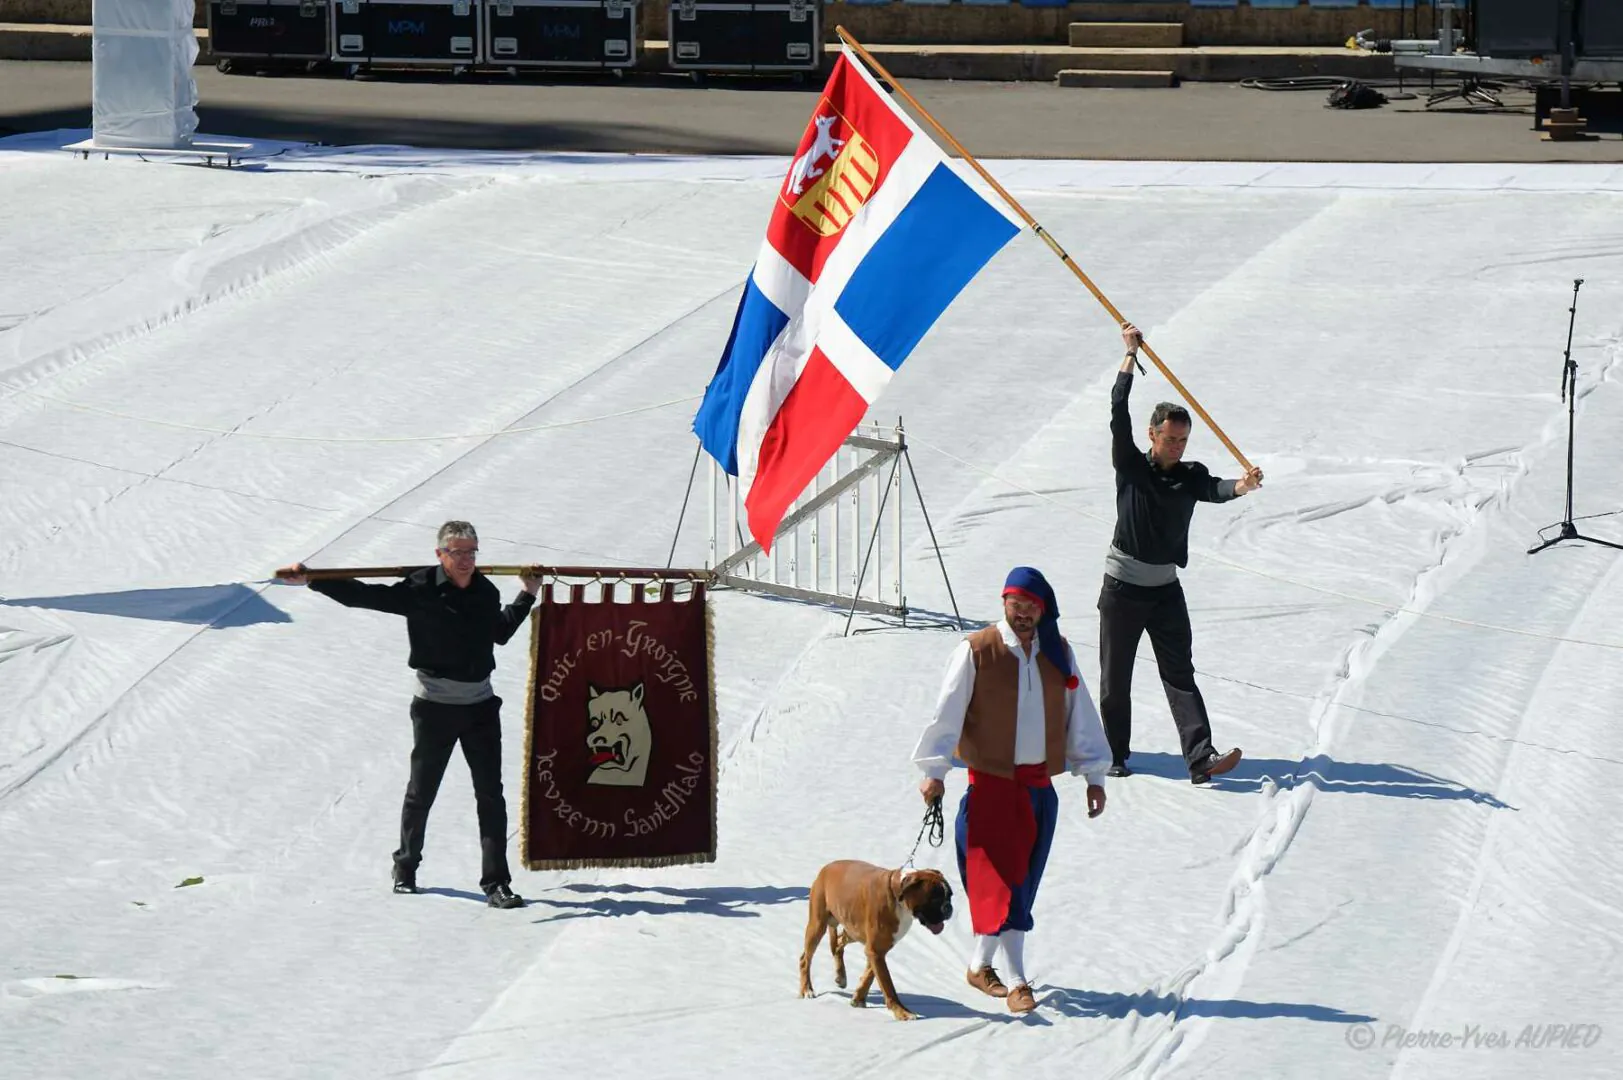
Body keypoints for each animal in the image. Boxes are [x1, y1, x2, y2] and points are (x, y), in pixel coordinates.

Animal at [798, 857, 947, 1019]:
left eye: (950, 896)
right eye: (935, 899)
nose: (948, 907)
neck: (897, 896)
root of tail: (826, 868)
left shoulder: (878, 949)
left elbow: (870, 974)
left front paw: (858, 998)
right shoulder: (875, 950)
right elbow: (887, 984)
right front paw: (902, 1012)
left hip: (852, 930)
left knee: (838, 942)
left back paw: (841, 976)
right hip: (817, 926)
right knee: (805, 959)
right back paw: (807, 989)